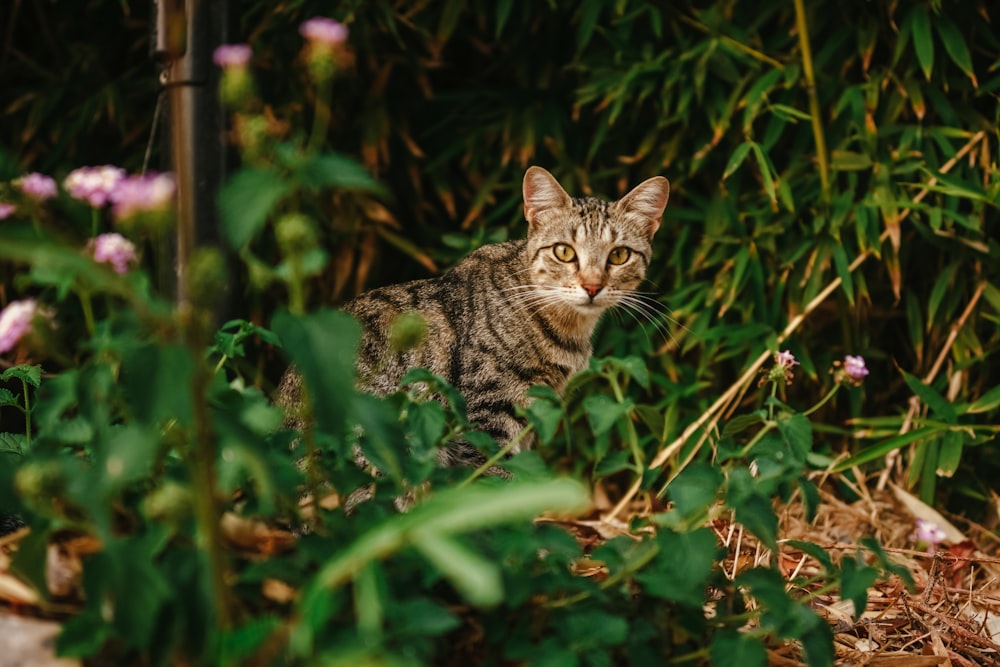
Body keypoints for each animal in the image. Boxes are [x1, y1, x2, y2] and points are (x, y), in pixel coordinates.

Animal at [282, 167, 668, 470]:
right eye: (564, 252)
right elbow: (496, 481)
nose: (592, 286)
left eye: (618, 255)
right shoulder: (487, 413)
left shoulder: (534, 413)